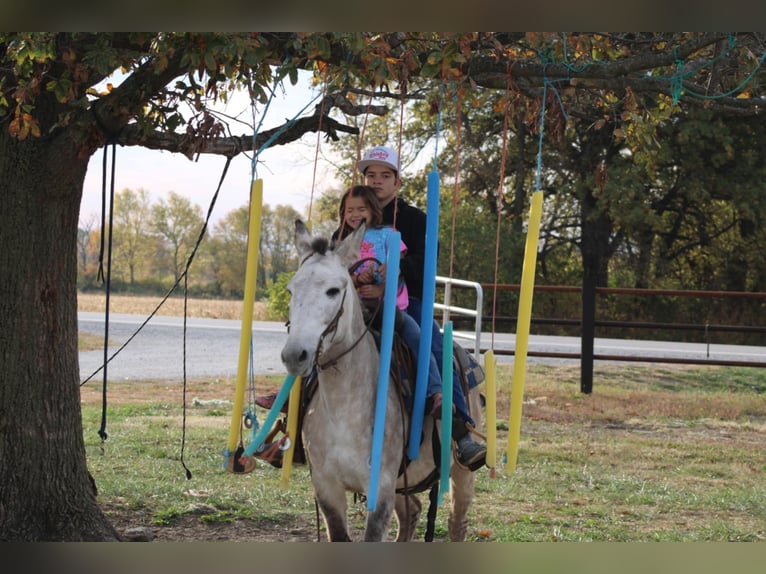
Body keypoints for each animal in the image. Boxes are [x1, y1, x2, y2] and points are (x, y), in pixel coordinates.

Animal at [280, 219, 481, 542]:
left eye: (333, 290)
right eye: (291, 290)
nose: (295, 354)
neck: (345, 409)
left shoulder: (382, 490)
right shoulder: (327, 488)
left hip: (462, 474)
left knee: (456, 523)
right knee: (411, 512)